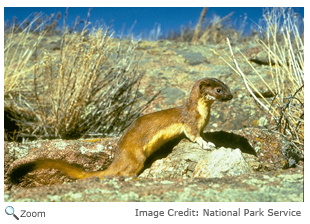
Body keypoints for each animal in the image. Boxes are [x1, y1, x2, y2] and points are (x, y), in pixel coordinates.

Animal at [8, 78, 232, 183]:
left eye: (228, 87)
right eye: (219, 90)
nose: (231, 96)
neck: (203, 115)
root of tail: (118, 157)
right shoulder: (189, 122)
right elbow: (194, 136)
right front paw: (207, 144)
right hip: (136, 158)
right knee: (124, 172)